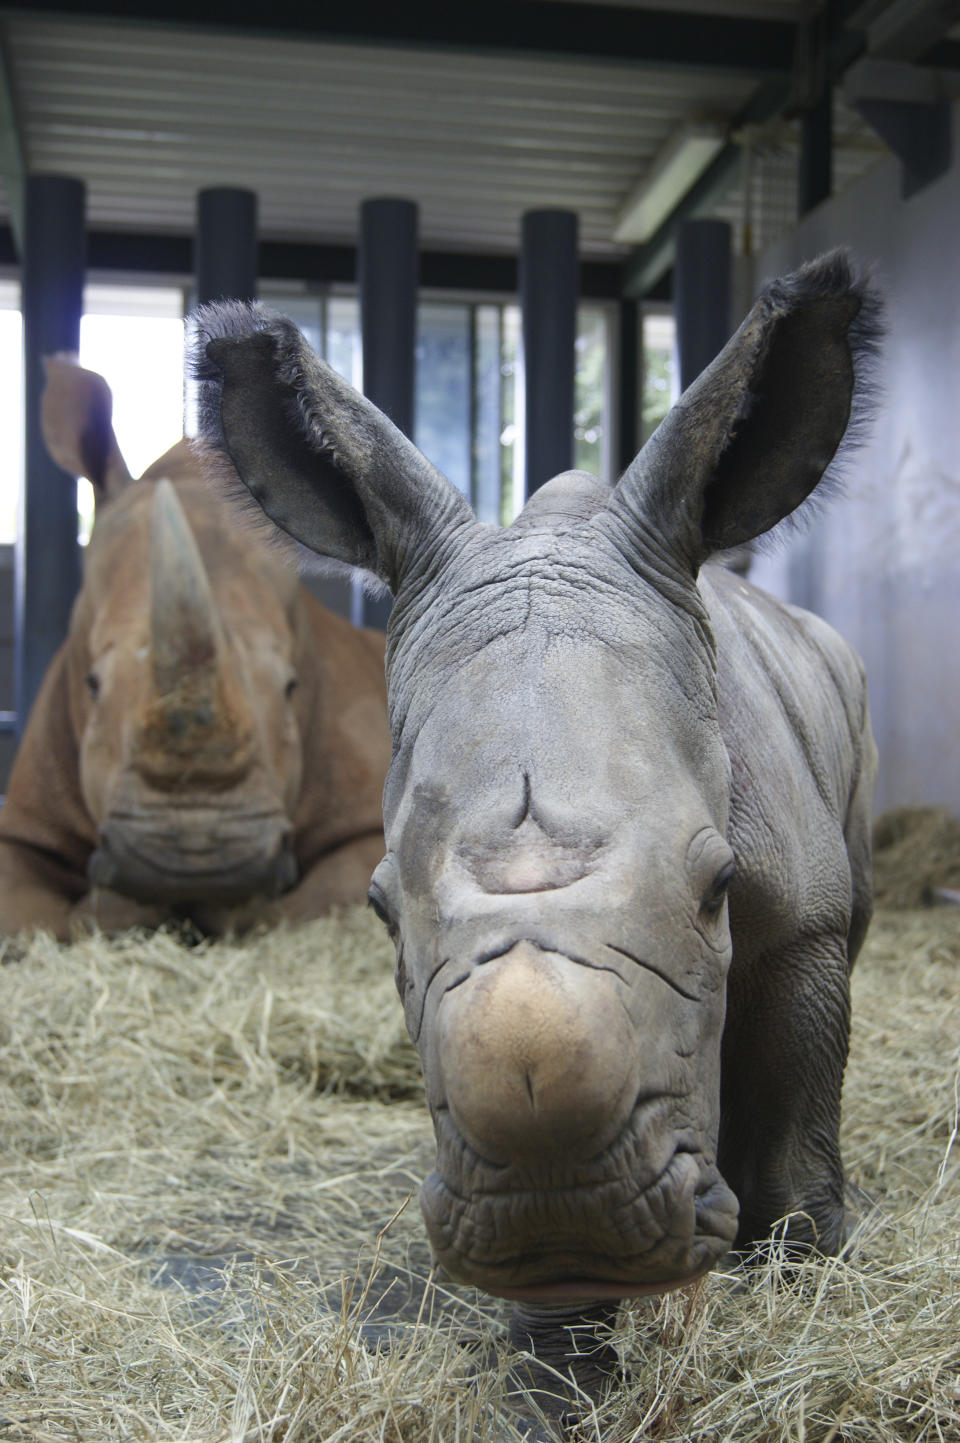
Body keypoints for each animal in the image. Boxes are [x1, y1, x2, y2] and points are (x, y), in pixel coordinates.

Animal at [0, 352, 392, 935]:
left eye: (291, 688)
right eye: (92, 685)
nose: (197, 861)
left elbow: (314, 897)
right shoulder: (24, 823)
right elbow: (22, 910)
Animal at [190, 253, 877, 1425]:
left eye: (720, 887)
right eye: (379, 912)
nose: (570, 1212)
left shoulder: (805, 922)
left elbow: (796, 1105)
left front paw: (807, 1288)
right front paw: (556, 1391)